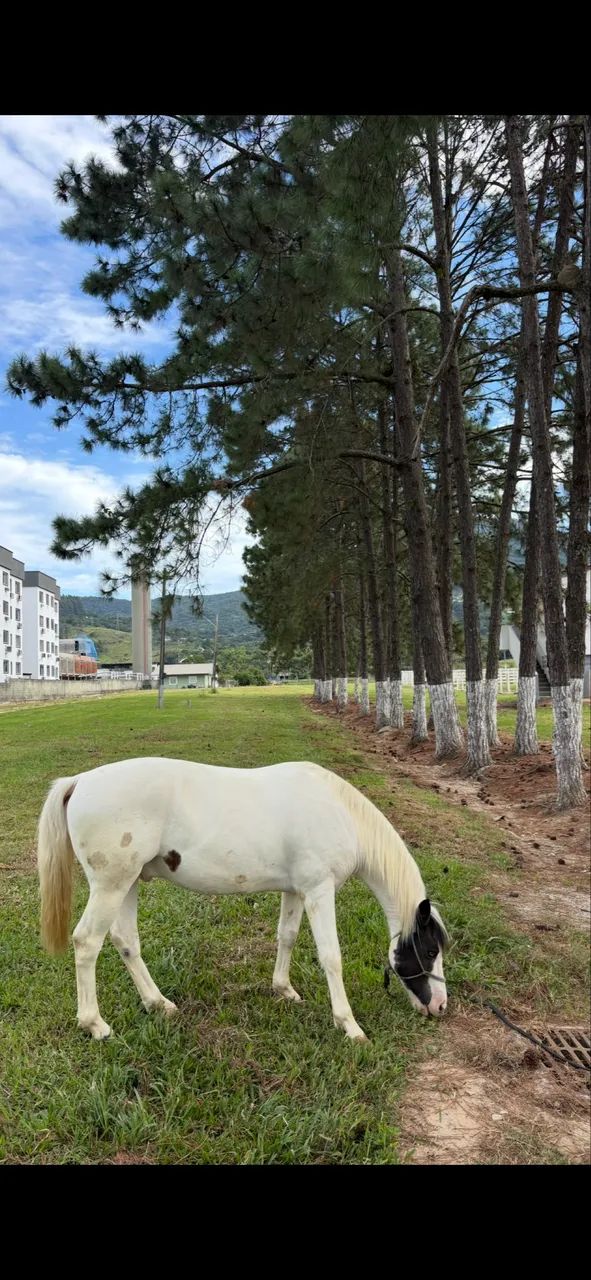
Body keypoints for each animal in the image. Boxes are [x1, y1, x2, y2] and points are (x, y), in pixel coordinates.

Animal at [37, 757, 448, 1042]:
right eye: (429, 950)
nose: (439, 1005)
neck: (340, 812)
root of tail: (80, 781)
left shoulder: (295, 890)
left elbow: (287, 937)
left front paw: (284, 990)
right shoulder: (319, 890)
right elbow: (331, 957)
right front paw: (349, 1025)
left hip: (127, 883)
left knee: (126, 941)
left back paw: (158, 1004)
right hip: (110, 886)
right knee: (87, 942)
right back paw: (95, 1024)